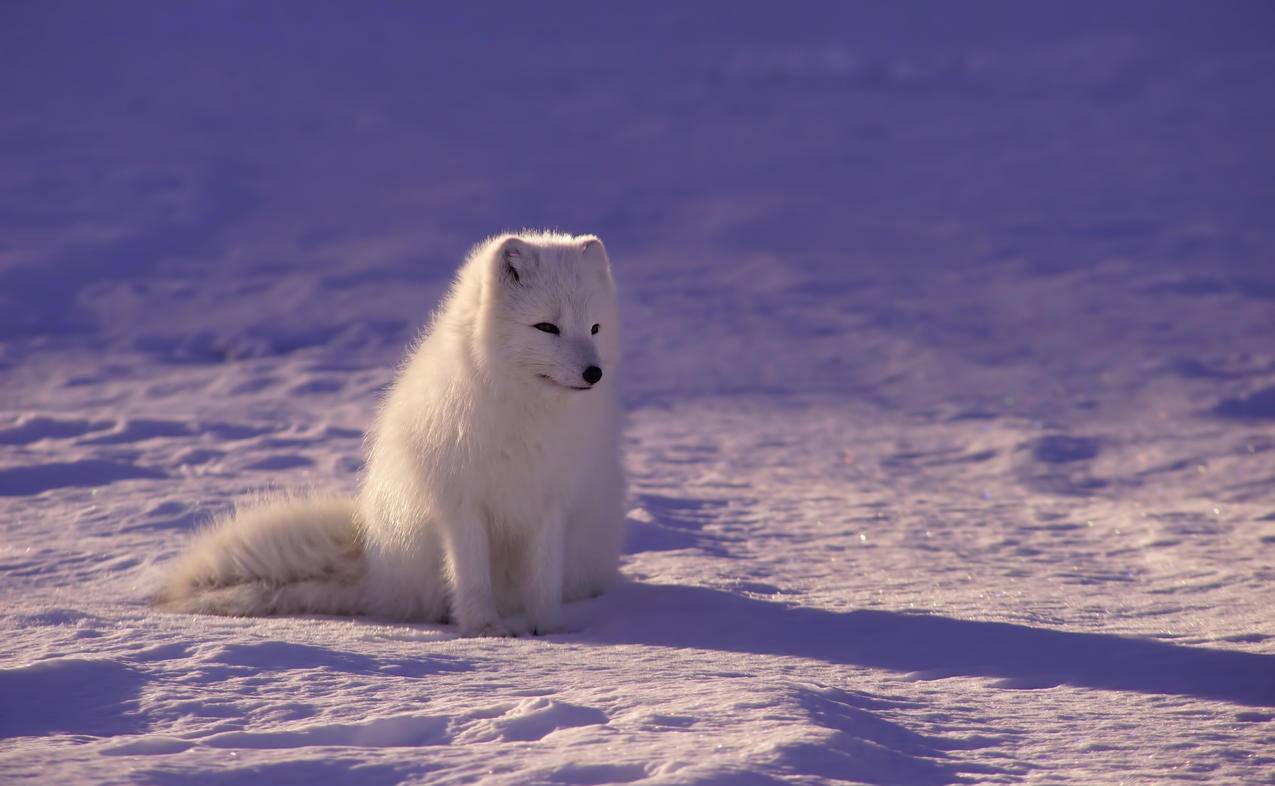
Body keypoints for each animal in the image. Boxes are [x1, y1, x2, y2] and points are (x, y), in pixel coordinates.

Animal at [154, 229, 627, 635]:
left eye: (595, 328)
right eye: (547, 327)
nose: (594, 373)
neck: (525, 412)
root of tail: (375, 563)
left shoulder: (552, 502)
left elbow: (543, 580)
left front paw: (548, 630)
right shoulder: (460, 503)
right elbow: (472, 577)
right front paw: (485, 629)